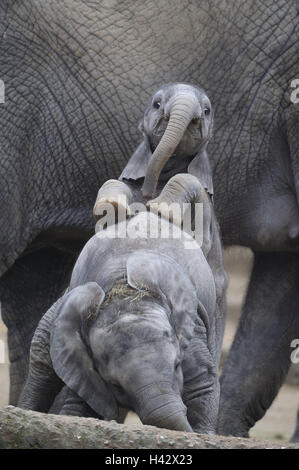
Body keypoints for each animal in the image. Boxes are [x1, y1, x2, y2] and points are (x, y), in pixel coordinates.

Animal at [19, 173, 225, 434]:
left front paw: (202, 434)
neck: (125, 293)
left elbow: (201, 383)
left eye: (177, 365)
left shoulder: (193, 322)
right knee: (42, 360)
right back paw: (25, 411)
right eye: (115, 384)